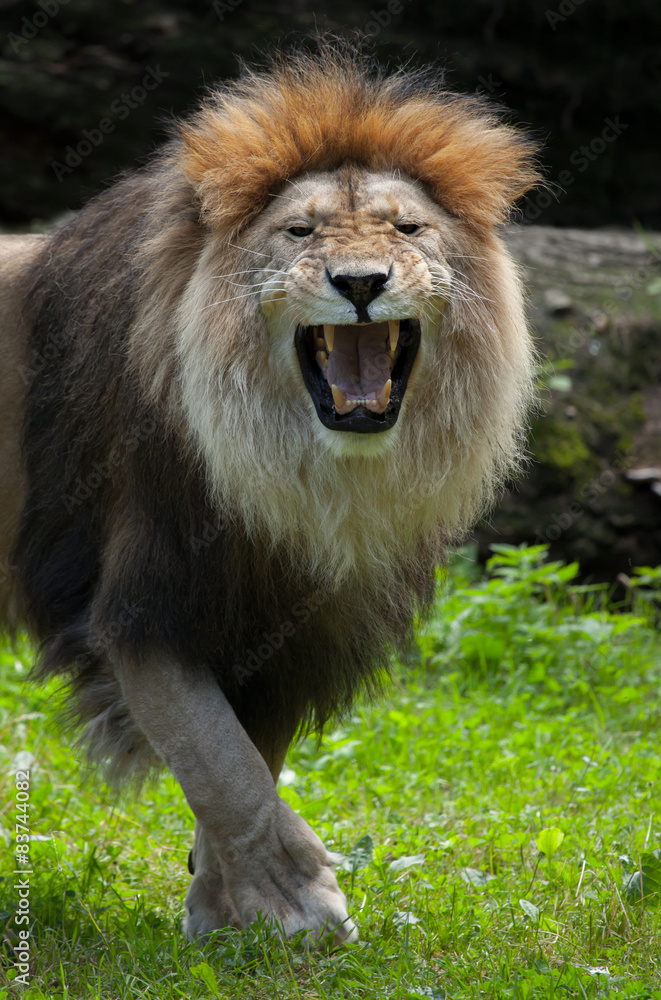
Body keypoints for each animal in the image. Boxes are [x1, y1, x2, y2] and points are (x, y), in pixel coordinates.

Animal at [0, 44, 540, 946]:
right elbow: (222, 762)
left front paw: (222, 911)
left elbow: (247, 756)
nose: (360, 282)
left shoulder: (294, 630)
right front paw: (297, 903)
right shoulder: (146, 603)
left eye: (407, 228)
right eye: (300, 231)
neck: (312, 479)